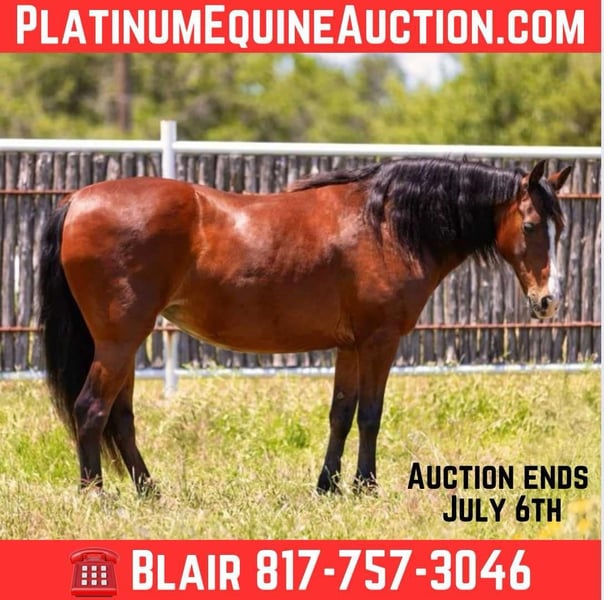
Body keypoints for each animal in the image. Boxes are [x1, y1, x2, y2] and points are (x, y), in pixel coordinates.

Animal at [39, 157, 571, 495]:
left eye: (560, 228)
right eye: (530, 226)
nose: (548, 300)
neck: (386, 225)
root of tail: (77, 199)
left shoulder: (350, 346)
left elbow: (342, 413)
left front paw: (328, 486)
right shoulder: (379, 342)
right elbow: (371, 414)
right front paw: (365, 487)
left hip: (124, 344)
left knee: (121, 418)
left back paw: (150, 491)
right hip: (118, 341)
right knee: (91, 409)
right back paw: (95, 495)